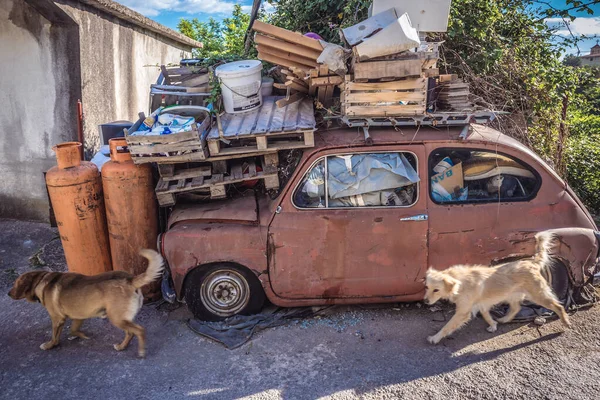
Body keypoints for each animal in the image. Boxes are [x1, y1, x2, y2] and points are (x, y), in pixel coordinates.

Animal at [6, 250, 164, 356]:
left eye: (15, 284)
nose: (8, 293)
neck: (41, 280)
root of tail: (130, 280)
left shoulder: (57, 319)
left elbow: (55, 335)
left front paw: (50, 345)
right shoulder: (78, 317)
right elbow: (73, 329)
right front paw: (79, 335)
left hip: (117, 318)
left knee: (139, 330)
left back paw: (141, 351)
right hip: (122, 319)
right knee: (130, 333)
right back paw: (122, 347)